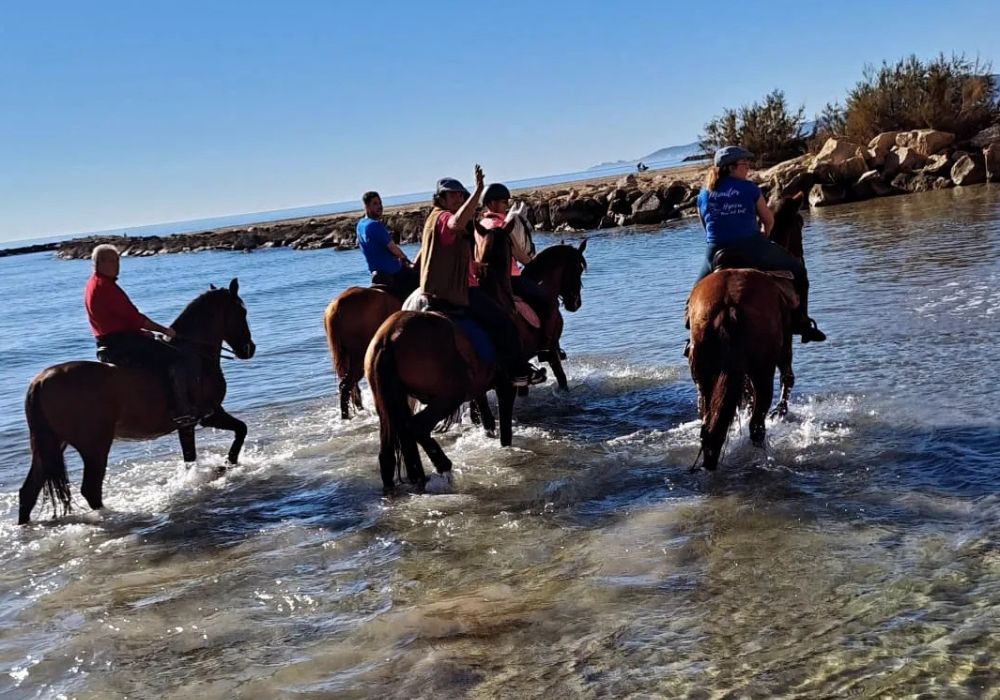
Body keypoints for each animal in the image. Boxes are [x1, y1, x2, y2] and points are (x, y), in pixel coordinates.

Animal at [18, 278, 256, 525]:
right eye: (242, 311)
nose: (249, 349)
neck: (196, 352)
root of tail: (40, 381)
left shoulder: (199, 420)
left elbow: (228, 437)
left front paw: (225, 465)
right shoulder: (208, 414)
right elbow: (236, 433)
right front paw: (226, 464)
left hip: (50, 444)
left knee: (28, 493)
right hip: (94, 446)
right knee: (90, 489)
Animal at [365, 234, 588, 495]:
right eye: (578, 268)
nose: (575, 302)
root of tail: (388, 338)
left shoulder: (482, 383)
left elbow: (487, 416)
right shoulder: (528, 365)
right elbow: (511, 423)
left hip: (389, 405)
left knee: (389, 452)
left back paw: (410, 480)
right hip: (448, 396)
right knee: (416, 428)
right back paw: (443, 467)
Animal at [686, 196, 805, 471]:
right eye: (801, 222)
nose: (801, 255)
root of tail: (727, 304)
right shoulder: (785, 347)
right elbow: (788, 377)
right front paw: (782, 412)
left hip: (703, 375)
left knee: (709, 429)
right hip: (762, 371)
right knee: (756, 426)